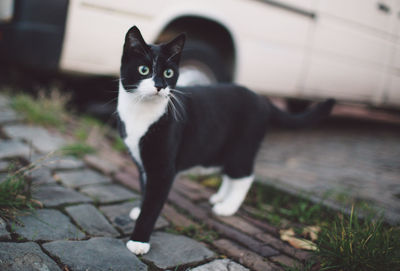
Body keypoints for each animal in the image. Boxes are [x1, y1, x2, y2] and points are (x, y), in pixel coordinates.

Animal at [116, 26, 334, 256]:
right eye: (143, 70)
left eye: (168, 73)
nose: (159, 85)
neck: (141, 112)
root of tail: (262, 99)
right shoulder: (142, 163)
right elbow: (144, 187)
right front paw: (140, 209)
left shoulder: (163, 169)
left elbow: (153, 203)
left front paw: (139, 240)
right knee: (230, 171)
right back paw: (220, 197)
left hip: (244, 144)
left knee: (244, 174)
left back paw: (227, 207)